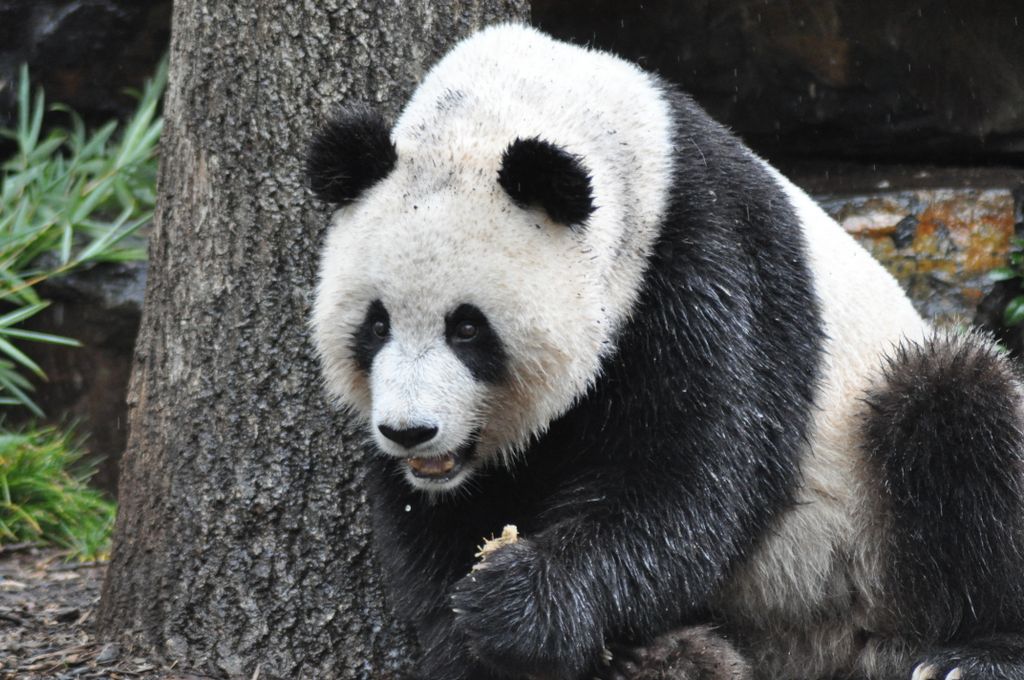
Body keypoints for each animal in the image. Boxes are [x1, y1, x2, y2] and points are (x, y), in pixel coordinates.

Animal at [307, 23, 1024, 680]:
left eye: (467, 328)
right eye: (375, 325)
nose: (410, 432)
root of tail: (848, 649)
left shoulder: (703, 259)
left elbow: (692, 474)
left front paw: (516, 603)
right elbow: (439, 524)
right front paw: (469, 638)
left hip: (867, 513)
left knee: (960, 411)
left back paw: (974, 655)